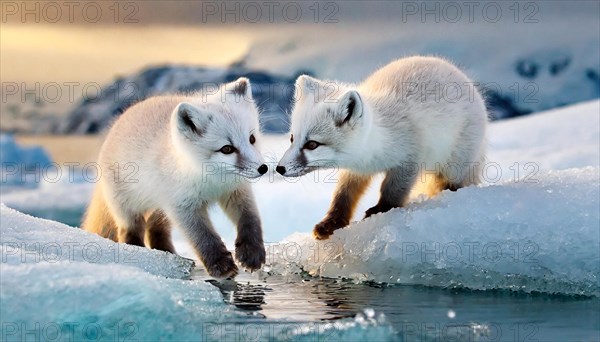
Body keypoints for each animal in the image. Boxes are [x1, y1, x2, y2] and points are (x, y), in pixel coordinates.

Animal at [82, 77, 268, 278]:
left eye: (251, 139)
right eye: (227, 149)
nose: (263, 168)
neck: (212, 182)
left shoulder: (235, 191)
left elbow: (251, 219)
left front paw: (252, 253)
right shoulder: (182, 207)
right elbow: (203, 237)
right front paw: (220, 265)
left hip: (160, 211)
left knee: (155, 230)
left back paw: (169, 254)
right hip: (128, 208)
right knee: (129, 232)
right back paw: (139, 253)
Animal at [276, 56, 488, 239]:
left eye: (312, 144)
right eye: (292, 138)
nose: (279, 168)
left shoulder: (409, 160)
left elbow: (392, 191)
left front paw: (380, 211)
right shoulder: (356, 170)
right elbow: (343, 195)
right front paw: (331, 223)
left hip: (454, 167)